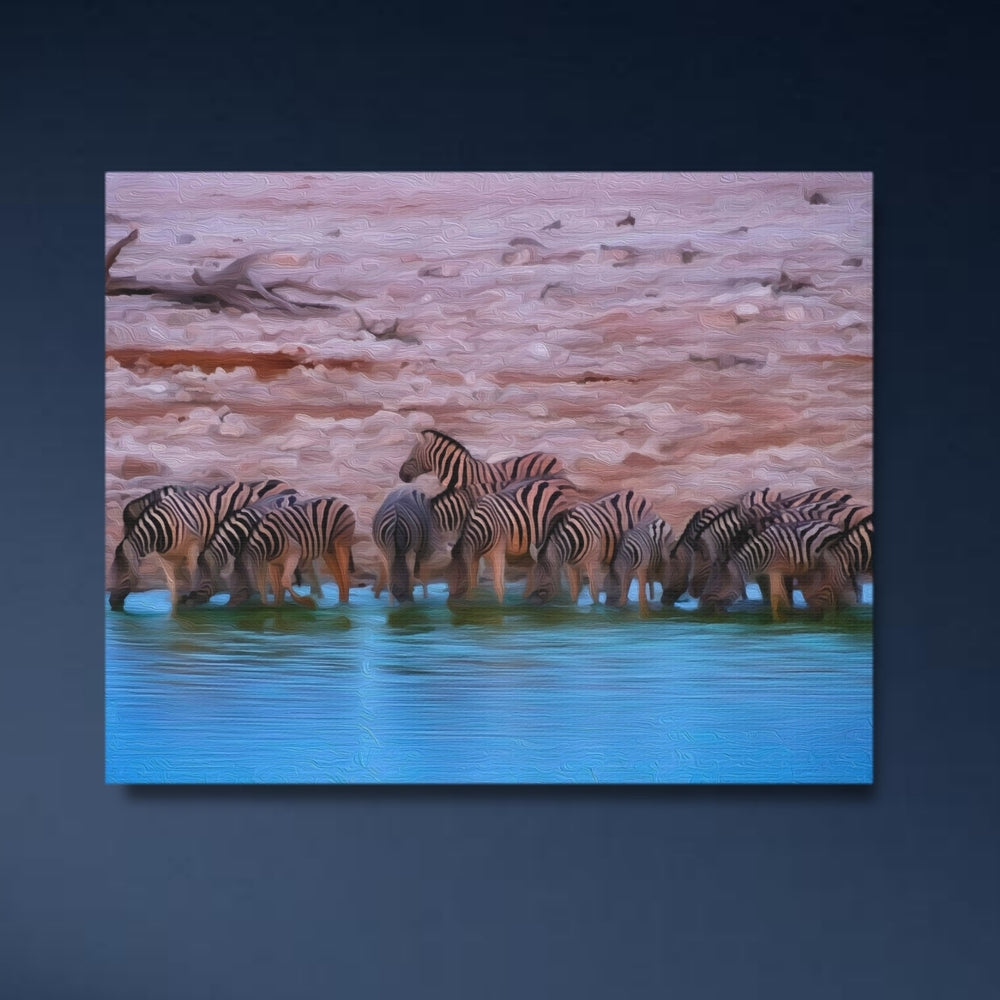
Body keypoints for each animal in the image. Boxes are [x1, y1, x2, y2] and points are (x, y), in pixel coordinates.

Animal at [108, 479, 296, 611]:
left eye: (123, 572)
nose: (111, 603)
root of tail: (286, 485)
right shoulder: (173, 555)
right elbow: (176, 583)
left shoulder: (194, 547)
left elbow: (193, 575)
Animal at [447, 476, 581, 603]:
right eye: (449, 577)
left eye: (456, 576)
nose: (451, 602)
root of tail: (549, 485)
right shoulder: (474, 555)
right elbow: (472, 586)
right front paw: (471, 602)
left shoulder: (498, 551)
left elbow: (499, 587)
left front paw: (500, 608)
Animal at [700, 518, 846, 619]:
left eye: (718, 585)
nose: (702, 608)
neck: (762, 553)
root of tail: (835, 525)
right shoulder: (773, 572)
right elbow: (782, 598)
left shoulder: (775, 570)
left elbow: (775, 598)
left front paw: (778, 621)